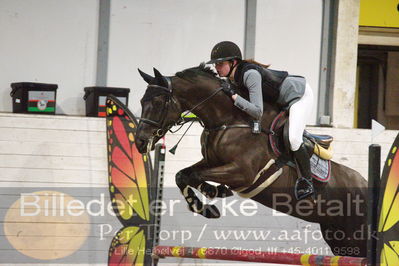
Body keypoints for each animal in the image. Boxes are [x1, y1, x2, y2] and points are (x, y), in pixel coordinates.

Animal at [134, 64, 368, 258]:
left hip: (356, 234)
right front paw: (208, 205)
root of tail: (366, 185)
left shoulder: (242, 173)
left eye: (157, 102)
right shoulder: (210, 161)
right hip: (338, 237)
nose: (140, 142)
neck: (229, 120)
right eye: (142, 101)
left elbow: (195, 175)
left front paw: (213, 193)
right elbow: (182, 175)